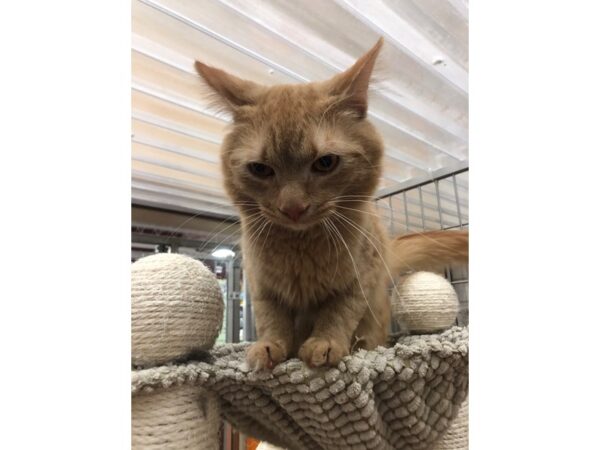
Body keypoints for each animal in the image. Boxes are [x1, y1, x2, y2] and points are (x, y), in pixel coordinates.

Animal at [195, 38, 466, 370]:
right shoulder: (262, 287)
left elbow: (338, 314)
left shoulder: (357, 281)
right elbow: (273, 320)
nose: (293, 207)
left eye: (325, 162)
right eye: (260, 169)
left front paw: (325, 344)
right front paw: (269, 347)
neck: (301, 248)